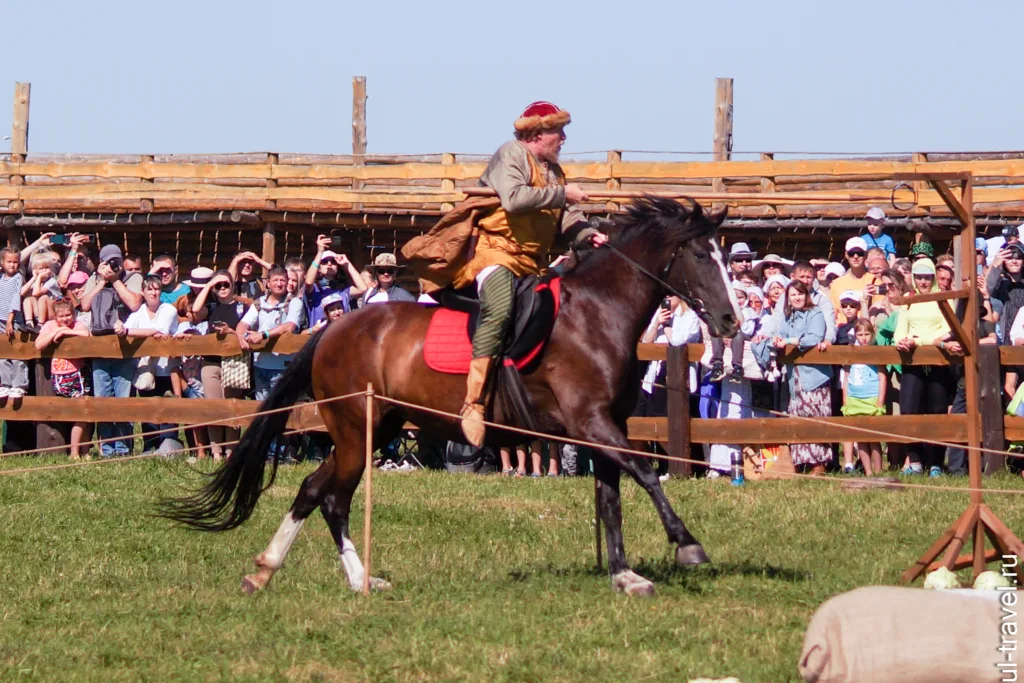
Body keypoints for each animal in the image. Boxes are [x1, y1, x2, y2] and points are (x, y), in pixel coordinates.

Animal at [161, 194, 737, 593]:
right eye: (698, 255)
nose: (731, 322)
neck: (597, 313)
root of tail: (334, 328)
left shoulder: (599, 427)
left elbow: (612, 494)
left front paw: (624, 575)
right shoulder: (591, 422)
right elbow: (644, 473)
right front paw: (687, 545)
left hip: (376, 428)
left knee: (317, 492)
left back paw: (298, 573)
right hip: (356, 430)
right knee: (329, 496)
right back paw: (325, 576)